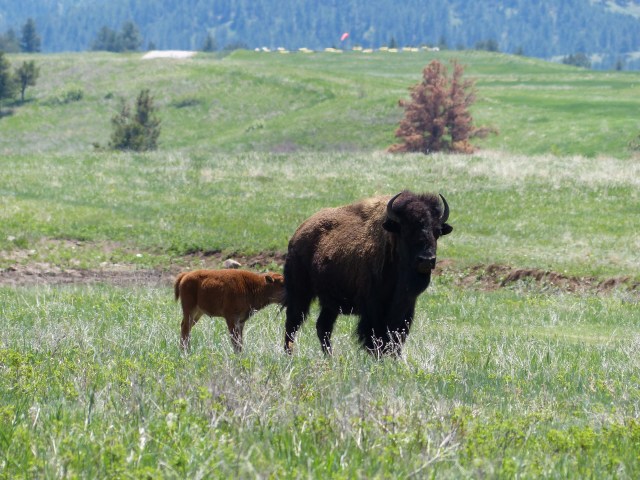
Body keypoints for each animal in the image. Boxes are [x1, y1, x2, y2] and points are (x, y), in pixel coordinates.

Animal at [283, 190, 452, 357]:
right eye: (406, 230)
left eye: (437, 231)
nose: (426, 260)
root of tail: (297, 235)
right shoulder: (373, 307)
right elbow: (376, 336)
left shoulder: (406, 306)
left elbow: (397, 336)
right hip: (300, 293)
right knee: (293, 323)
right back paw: (289, 355)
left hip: (330, 302)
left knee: (322, 327)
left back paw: (329, 357)